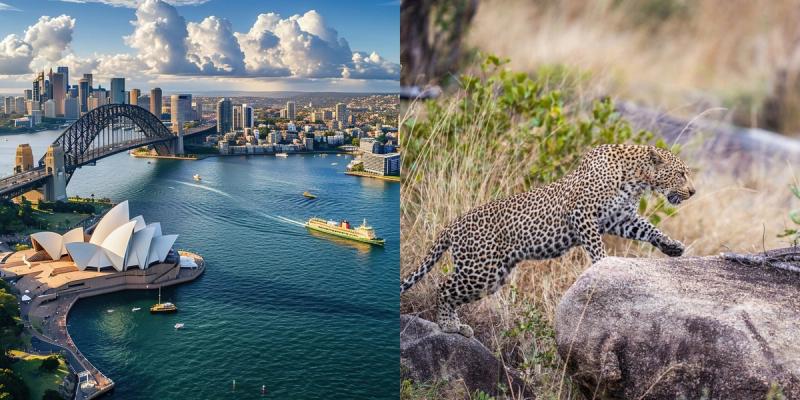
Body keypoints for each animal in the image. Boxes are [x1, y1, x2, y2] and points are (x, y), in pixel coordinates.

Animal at [400, 144, 695, 337]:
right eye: (681, 173)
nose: (693, 192)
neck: (637, 178)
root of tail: (452, 225)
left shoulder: (621, 219)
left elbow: (649, 228)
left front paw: (672, 246)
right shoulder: (582, 213)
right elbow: (596, 246)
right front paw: (603, 265)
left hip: (491, 275)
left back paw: (456, 326)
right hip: (480, 269)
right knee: (443, 286)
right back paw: (448, 325)